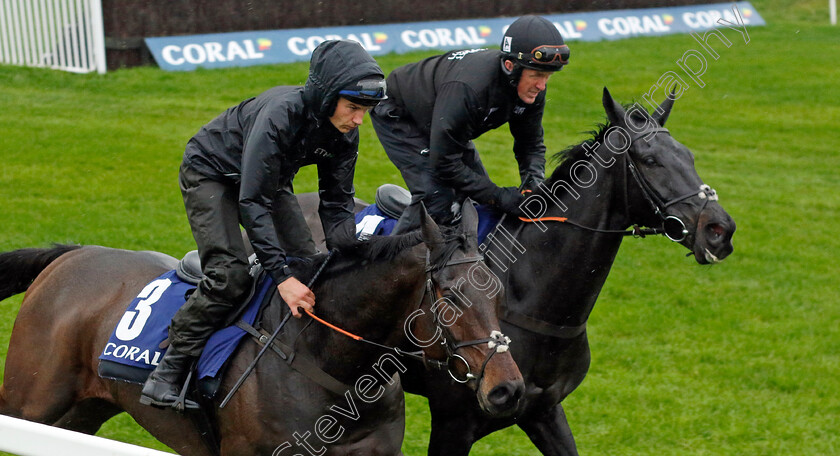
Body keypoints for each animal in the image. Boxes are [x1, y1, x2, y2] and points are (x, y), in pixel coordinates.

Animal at [0, 204, 524, 456]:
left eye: (498, 293)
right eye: (451, 299)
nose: (508, 390)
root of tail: (70, 255)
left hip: (81, 413)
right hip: (29, 405)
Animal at [298, 87, 740, 454]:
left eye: (689, 156)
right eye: (649, 160)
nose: (720, 229)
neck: (534, 299)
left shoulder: (543, 410)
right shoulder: (454, 424)